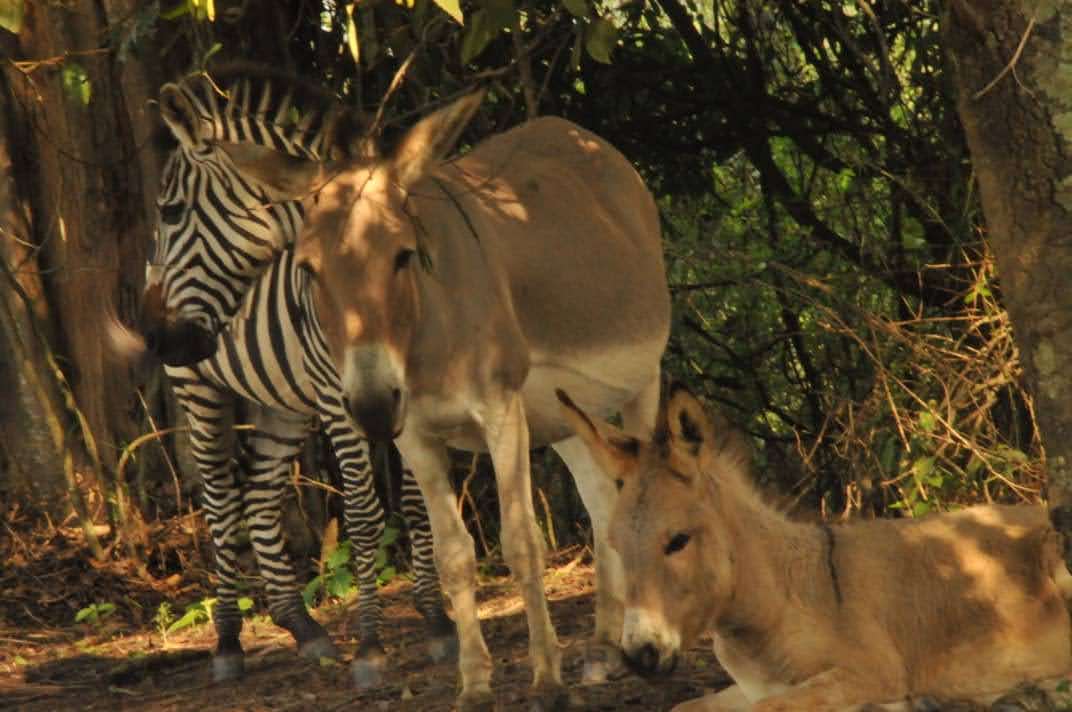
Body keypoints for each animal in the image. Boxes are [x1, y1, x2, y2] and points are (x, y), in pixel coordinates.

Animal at [139, 68, 455, 687]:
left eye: (171, 211)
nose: (160, 338)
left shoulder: (410, 390)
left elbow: (417, 501)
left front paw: (436, 621)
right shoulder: (341, 400)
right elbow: (364, 513)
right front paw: (371, 647)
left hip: (282, 402)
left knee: (260, 496)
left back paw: (302, 626)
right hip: (200, 390)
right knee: (221, 501)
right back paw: (228, 643)